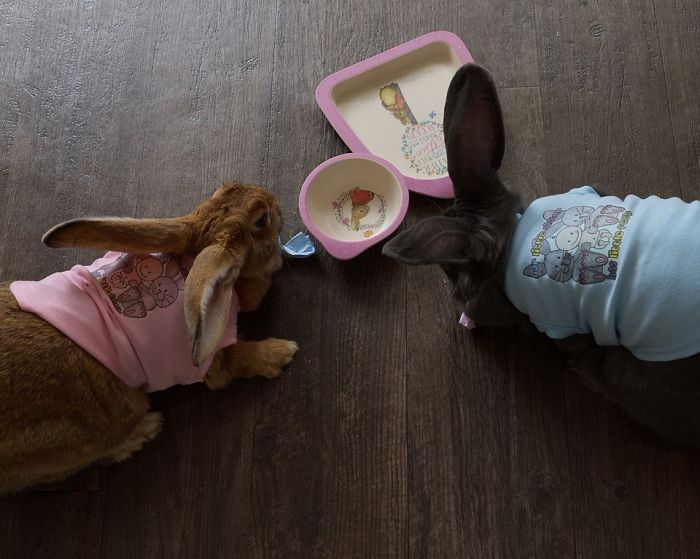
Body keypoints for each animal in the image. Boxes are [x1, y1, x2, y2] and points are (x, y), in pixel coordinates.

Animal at [0, 182, 298, 493]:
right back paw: (145, 430)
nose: (273, 200)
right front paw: (282, 353)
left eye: (222, 190)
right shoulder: (211, 363)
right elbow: (237, 360)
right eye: (262, 220)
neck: (190, 265)